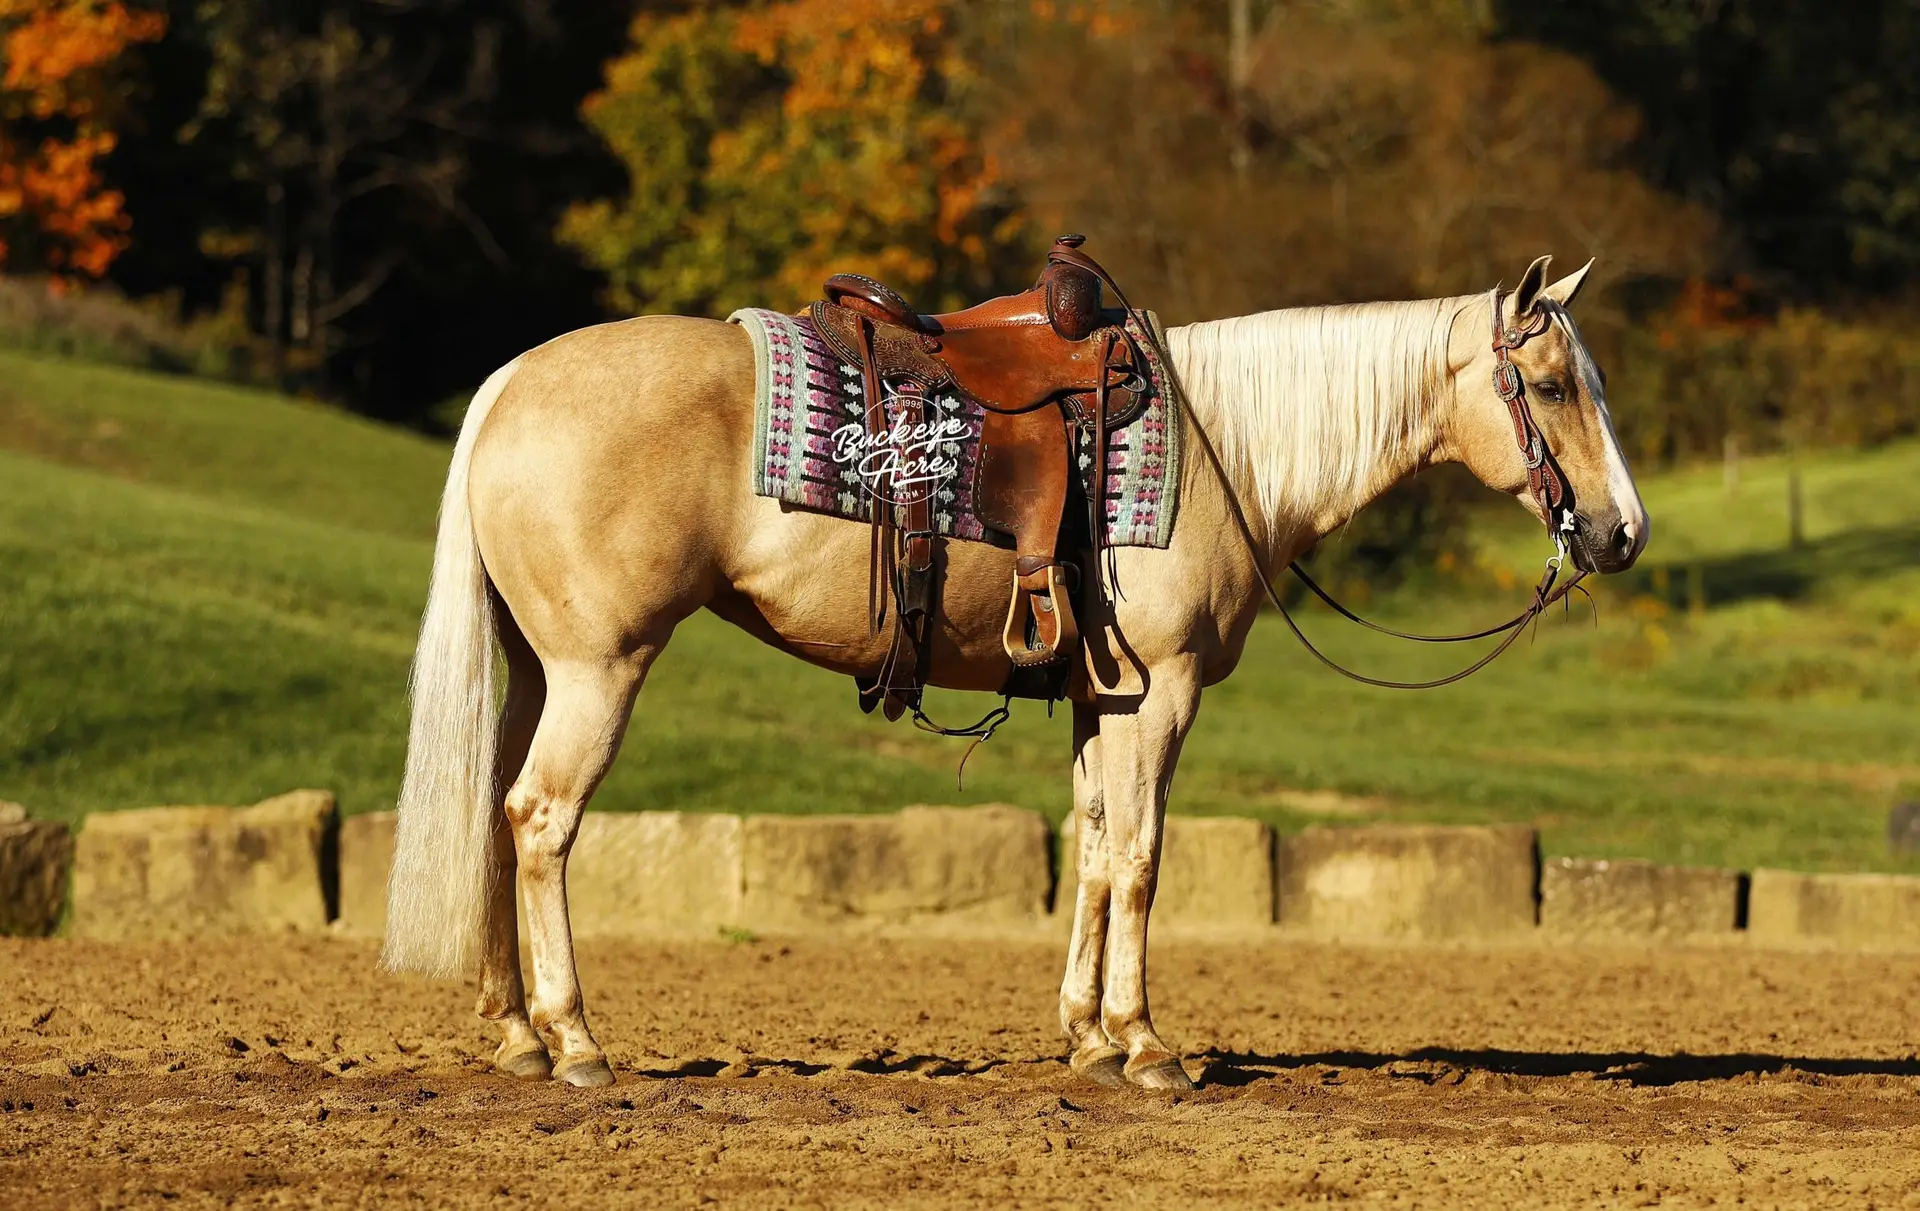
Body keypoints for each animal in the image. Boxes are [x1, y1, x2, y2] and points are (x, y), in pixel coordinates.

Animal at [380, 253, 1647, 1091]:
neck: (1228, 450)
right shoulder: (1163, 690)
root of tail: (509, 383)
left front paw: (1085, 1032)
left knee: (494, 814)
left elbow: (1091, 847)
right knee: (542, 820)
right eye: (1550, 385)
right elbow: (1140, 857)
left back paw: (515, 1031)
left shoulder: (1103, 696)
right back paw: (576, 1040)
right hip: (601, 668)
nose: (1622, 532)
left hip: (537, 670)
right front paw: (1145, 1044)